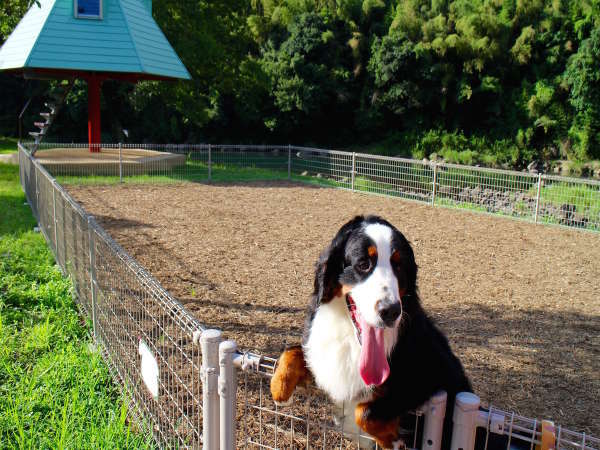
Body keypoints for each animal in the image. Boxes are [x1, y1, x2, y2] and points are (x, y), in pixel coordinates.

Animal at [270, 216, 472, 448]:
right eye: (363, 264)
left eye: (399, 265)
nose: (391, 311)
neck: (351, 341)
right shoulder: (325, 363)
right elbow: (293, 352)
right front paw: (280, 388)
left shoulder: (435, 379)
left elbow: (365, 412)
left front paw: (392, 439)